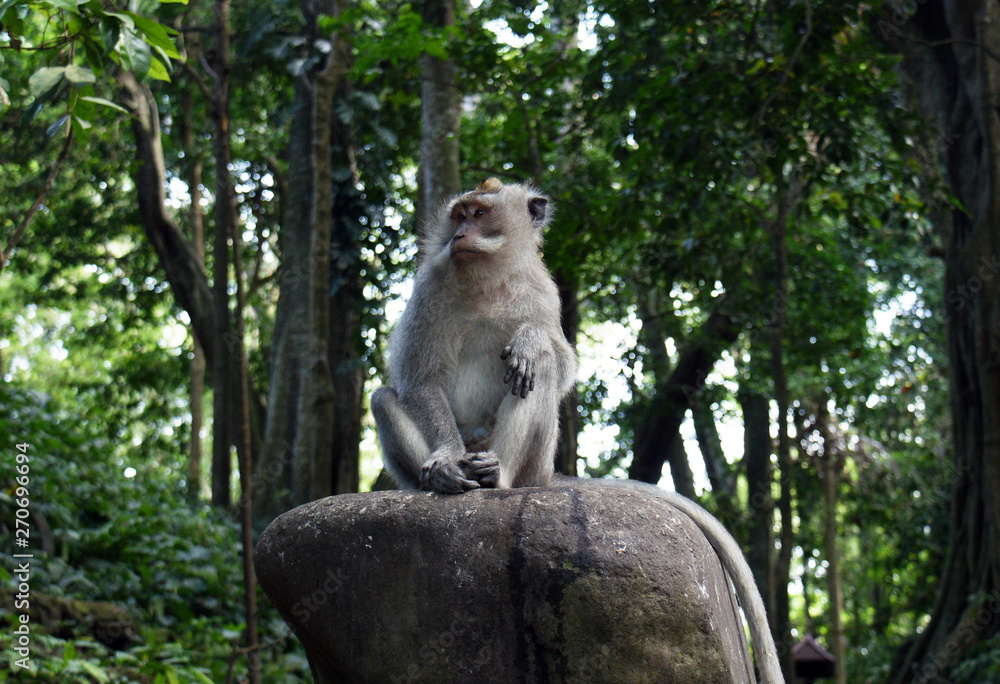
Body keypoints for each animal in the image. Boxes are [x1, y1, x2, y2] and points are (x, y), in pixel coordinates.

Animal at [371, 178, 576, 495]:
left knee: (541, 366)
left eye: (479, 214)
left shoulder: (542, 292)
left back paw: (497, 475)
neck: (487, 281)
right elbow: (419, 380)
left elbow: (563, 365)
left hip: (537, 469)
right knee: (382, 399)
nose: (458, 235)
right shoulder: (428, 289)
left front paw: (530, 339)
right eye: (459, 216)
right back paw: (440, 477)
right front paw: (445, 457)